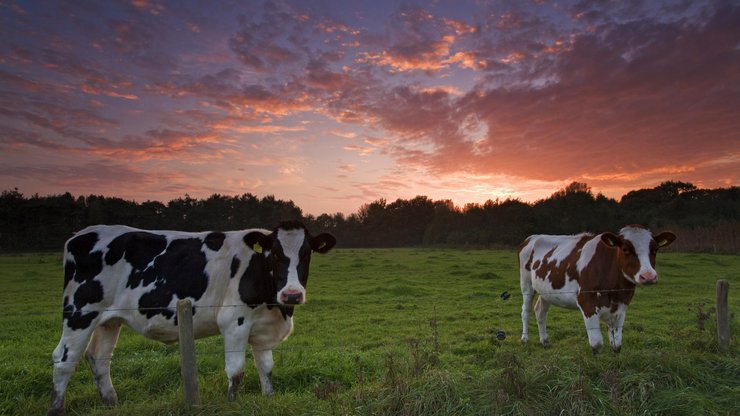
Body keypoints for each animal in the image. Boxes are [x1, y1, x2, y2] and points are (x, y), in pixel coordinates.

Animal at [516, 226, 672, 352]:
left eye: (655, 250)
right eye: (625, 249)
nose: (649, 276)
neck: (614, 291)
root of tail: (532, 237)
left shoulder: (621, 306)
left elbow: (617, 344)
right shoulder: (586, 302)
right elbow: (597, 343)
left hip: (546, 291)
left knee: (540, 312)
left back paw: (544, 341)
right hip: (526, 284)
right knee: (526, 311)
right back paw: (524, 339)